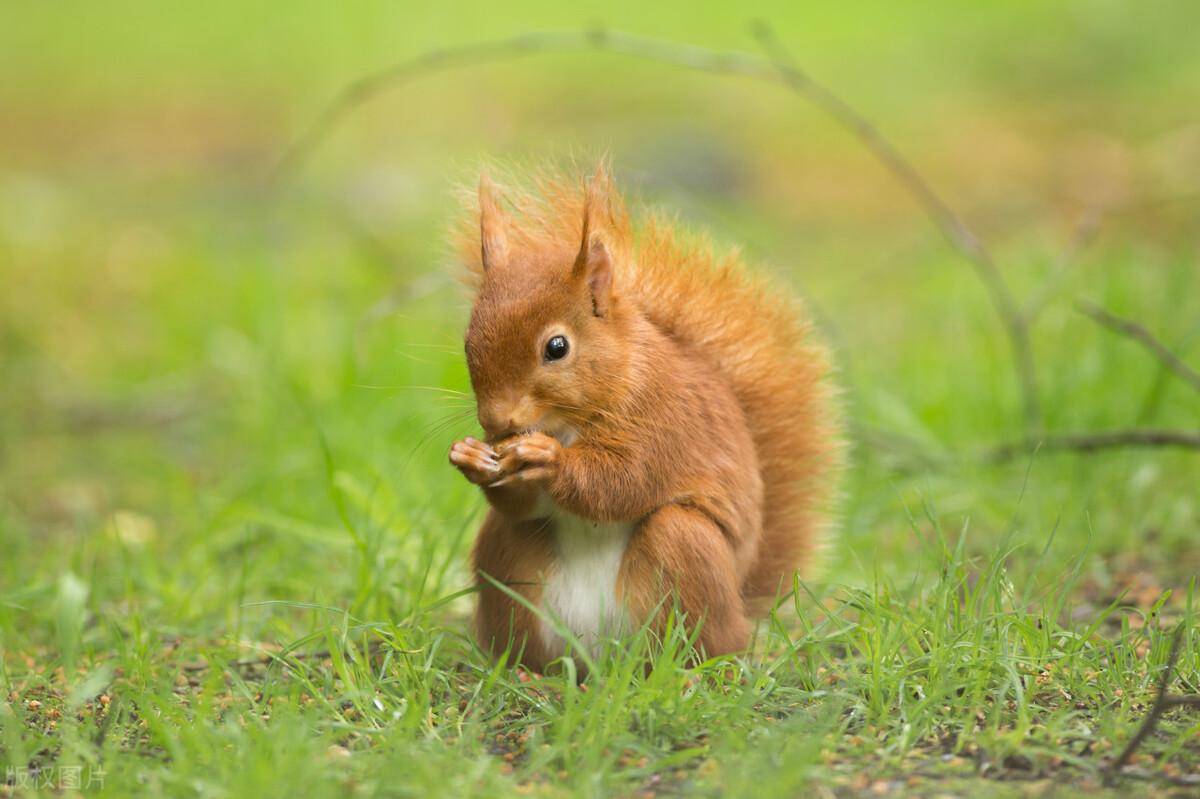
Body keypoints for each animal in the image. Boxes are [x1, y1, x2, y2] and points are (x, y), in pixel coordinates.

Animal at [446, 160, 840, 667]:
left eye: (557, 347)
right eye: (467, 341)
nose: (496, 422)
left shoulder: (667, 420)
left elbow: (626, 481)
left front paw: (548, 460)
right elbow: (523, 502)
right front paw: (470, 457)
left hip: (684, 550)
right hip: (509, 562)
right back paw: (524, 671)